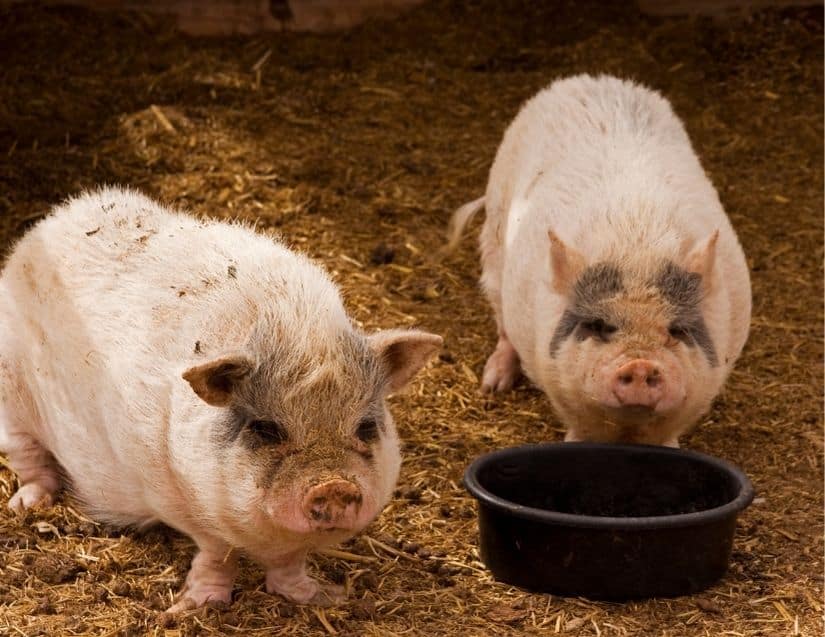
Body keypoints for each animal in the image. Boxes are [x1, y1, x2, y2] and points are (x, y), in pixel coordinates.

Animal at [0, 186, 442, 611]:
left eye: (365, 427)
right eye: (266, 429)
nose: (333, 485)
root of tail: (51, 219)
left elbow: (289, 565)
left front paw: (327, 597)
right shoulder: (185, 503)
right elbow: (217, 555)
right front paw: (193, 608)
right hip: (11, 399)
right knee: (29, 459)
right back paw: (25, 505)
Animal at [447, 74, 751, 447]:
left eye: (677, 329)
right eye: (597, 325)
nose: (640, 365)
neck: (638, 250)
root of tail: (588, 79)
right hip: (494, 247)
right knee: (502, 323)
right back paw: (492, 385)